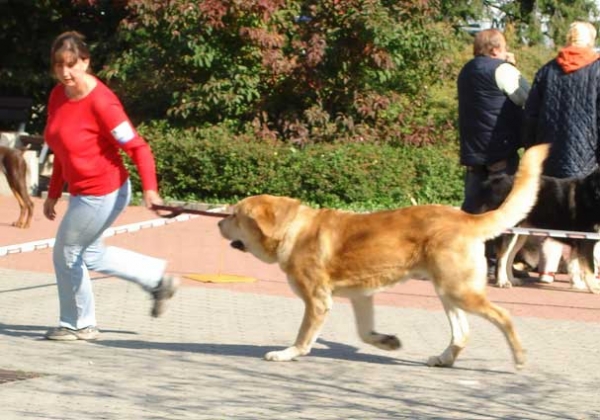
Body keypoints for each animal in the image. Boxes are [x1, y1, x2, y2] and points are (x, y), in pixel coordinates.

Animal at [219, 144, 548, 368]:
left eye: (235, 215)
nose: (218, 223)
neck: (292, 230)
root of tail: (465, 216)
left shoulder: (317, 301)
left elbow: (303, 337)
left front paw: (287, 353)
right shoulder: (361, 297)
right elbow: (365, 333)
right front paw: (387, 342)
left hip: (459, 290)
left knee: (503, 317)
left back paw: (519, 357)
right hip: (448, 292)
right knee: (462, 333)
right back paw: (443, 359)